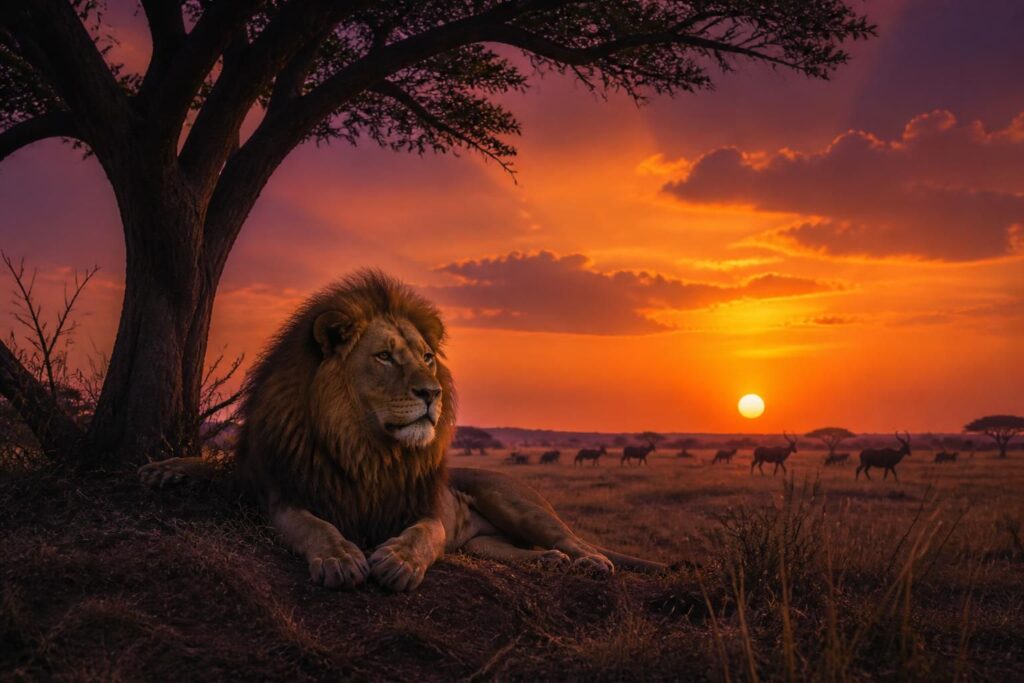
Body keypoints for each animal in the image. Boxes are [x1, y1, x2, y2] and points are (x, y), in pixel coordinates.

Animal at [139, 271, 665, 591]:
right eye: (384, 356)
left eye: (428, 357)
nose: (433, 393)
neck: (365, 447)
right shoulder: (283, 491)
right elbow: (312, 524)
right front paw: (339, 558)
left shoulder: (423, 508)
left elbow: (424, 536)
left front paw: (396, 562)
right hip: (482, 542)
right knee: (515, 550)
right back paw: (548, 562)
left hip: (518, 504)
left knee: (576, 540)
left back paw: (590, 563)